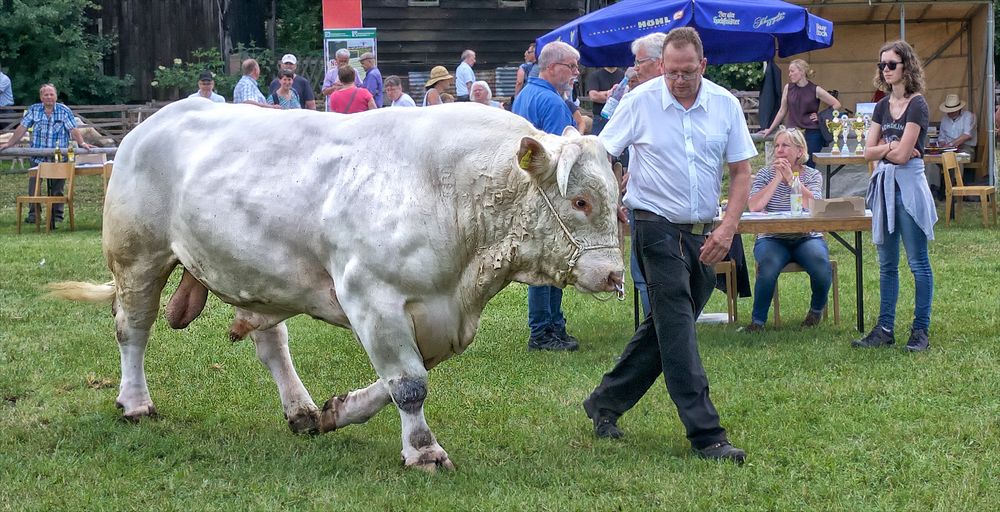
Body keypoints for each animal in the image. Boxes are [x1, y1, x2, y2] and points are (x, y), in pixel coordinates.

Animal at [52, 98, 624, 470]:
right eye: (580, 201)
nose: (616, 274)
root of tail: (147, 124)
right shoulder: (371, 296)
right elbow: (409, 383)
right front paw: (423, 451)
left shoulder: (439, 315)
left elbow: (400, 379)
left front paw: (337, 411)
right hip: (138, 257)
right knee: (133, 329)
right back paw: (135, 402)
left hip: (259, 275)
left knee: (271, 343)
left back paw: (302, 410)